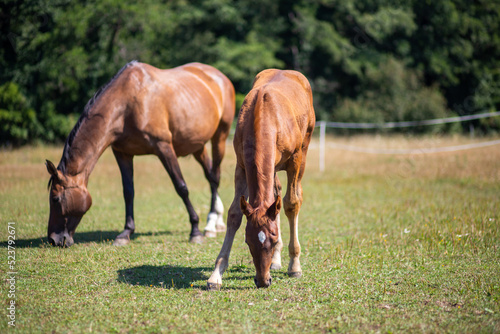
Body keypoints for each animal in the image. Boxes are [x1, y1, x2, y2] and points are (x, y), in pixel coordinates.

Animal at [209, 69, 314, 288]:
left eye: (272, 240)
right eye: (248, 241)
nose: (263, 281)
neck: (264, 115)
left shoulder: (294, 160)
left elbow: (291, 204)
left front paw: (295, 265)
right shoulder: (242, 166)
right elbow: (234, 214)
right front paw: (215, 275)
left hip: (304, 151)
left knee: (293, 197)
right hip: (271, 168)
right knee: (275, 195)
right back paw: (276, 261)